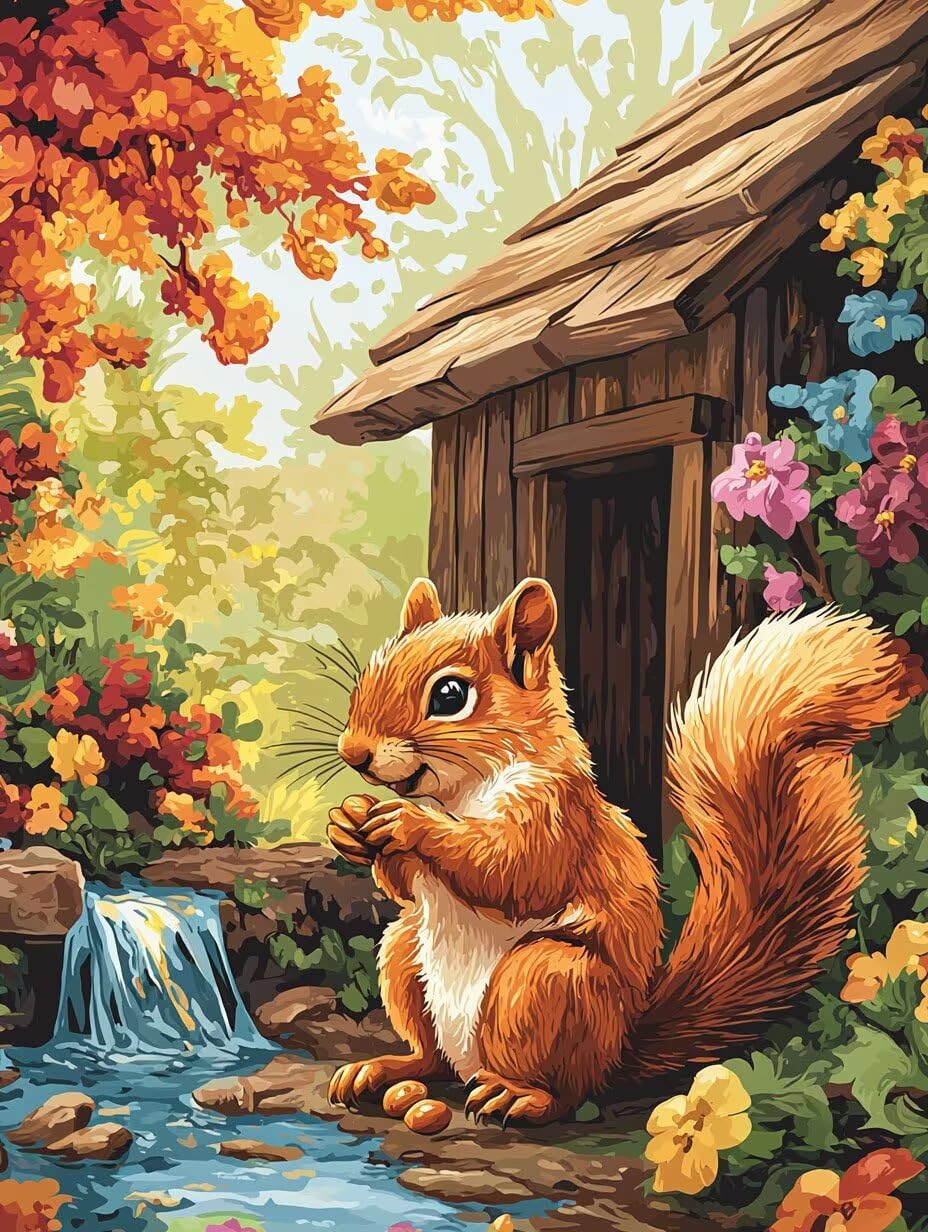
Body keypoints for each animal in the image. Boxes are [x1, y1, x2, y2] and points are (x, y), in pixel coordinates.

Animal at [325, 576, 921, 1127]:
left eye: (450, 695)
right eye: (370, 671)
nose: (354, 753)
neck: (459, 791)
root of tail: (618, 1051)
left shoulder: (557, 814)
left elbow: (514, 872)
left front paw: (409, 823)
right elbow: (408, 886)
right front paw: (347, 826)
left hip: (545, 983)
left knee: (562, 1091)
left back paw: (518, 1095)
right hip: (404, 953)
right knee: (430, 1057)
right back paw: (383, 1069)